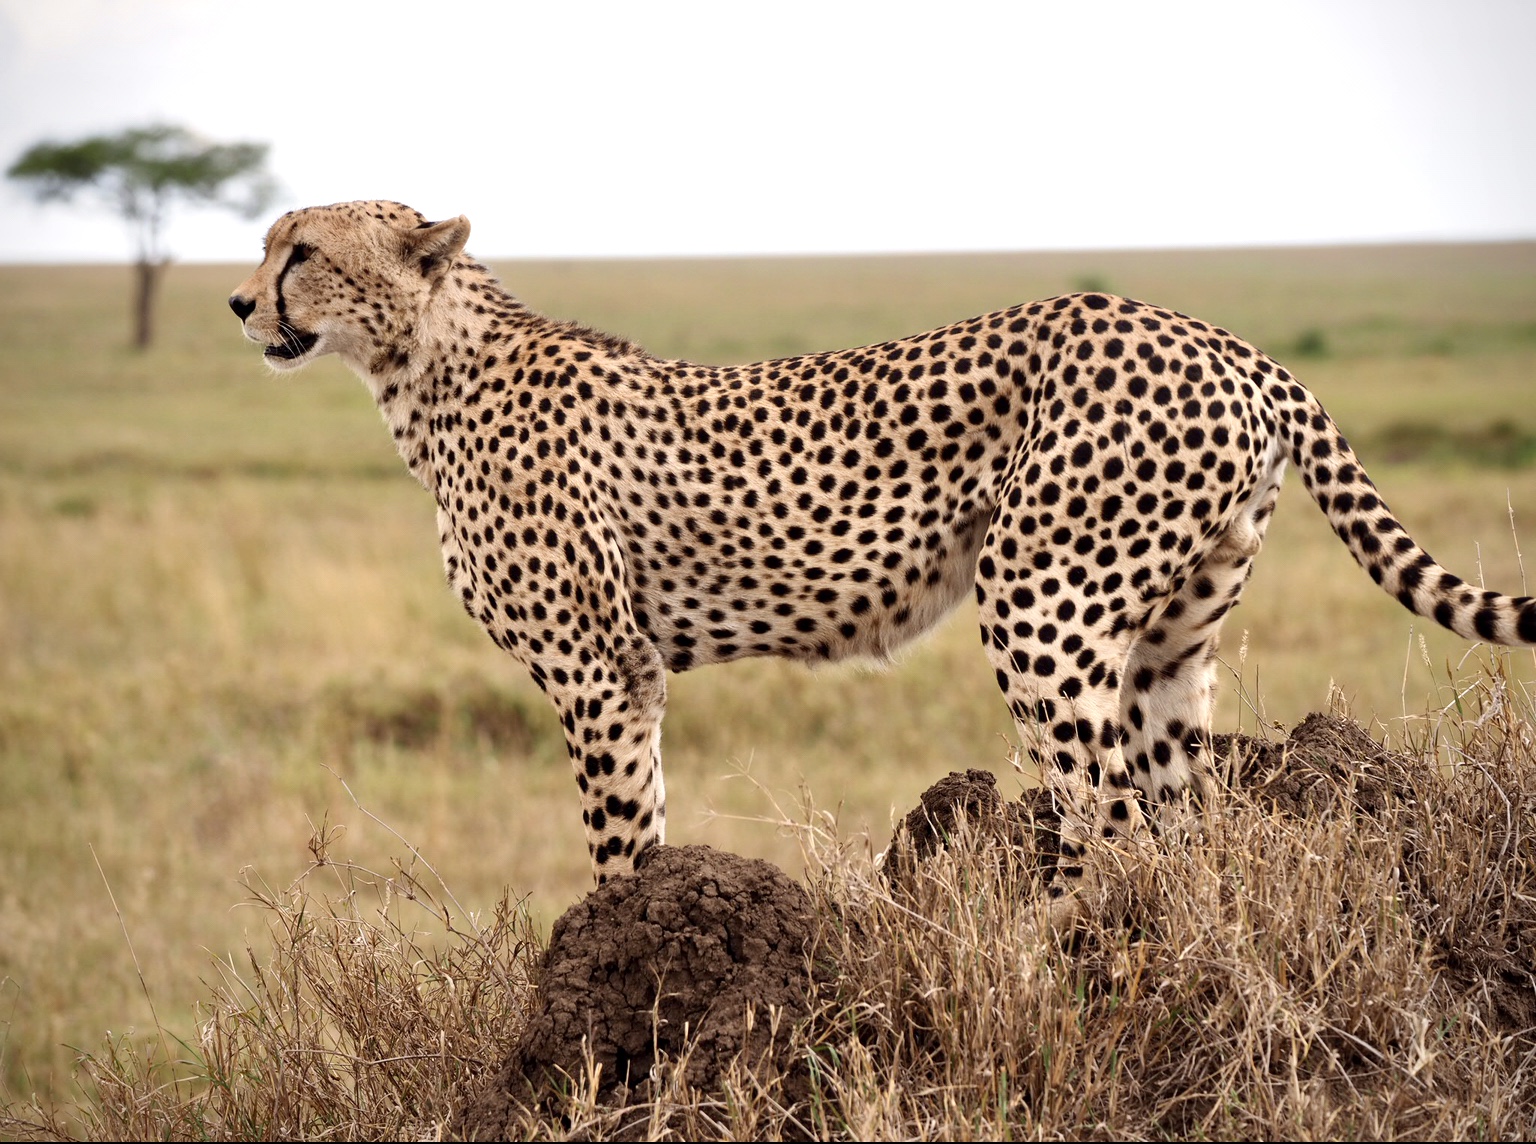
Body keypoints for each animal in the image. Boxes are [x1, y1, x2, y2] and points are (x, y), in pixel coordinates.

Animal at [233, 202, 1536, 921]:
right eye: (266, 245)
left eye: (302, 249)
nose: (242, 304)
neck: (423, 365)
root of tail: (1222, 338)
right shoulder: (632, 672)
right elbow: (648, 817)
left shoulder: (594, 666)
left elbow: (615, 832)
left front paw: (605, 941)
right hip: (1174, 632)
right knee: (1180, 808)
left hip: (1042, 599)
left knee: (1106, 807)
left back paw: (1040, 948)